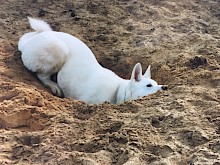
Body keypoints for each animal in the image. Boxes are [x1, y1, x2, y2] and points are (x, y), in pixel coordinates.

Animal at [18, 17, 167, 104]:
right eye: (148, 85)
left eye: (156, 83)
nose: (165, 87)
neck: (119, 91)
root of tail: (26, 45)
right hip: (58, 50)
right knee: (41, 75)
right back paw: (54, 86)